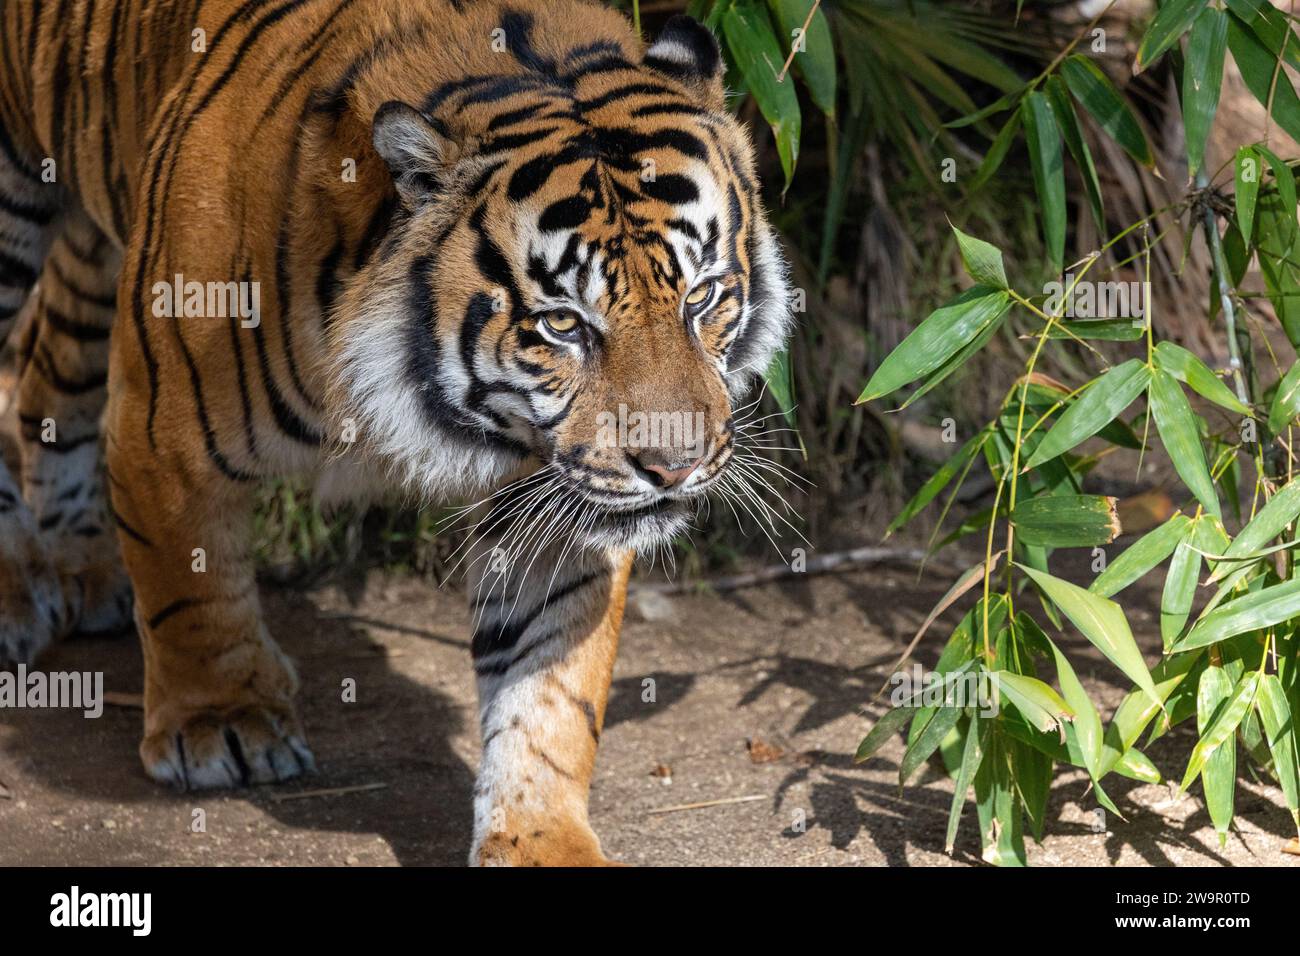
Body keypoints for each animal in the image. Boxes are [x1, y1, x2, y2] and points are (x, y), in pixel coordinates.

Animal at [0, 0, 790, 868]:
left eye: (703, 296)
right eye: (562, 324)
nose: (674, 467)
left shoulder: (553, 494)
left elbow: (549, 681)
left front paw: (540, 837)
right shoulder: (164, 421)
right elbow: (190, 582)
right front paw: (221, 723)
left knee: (44, 366)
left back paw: (81, 562)